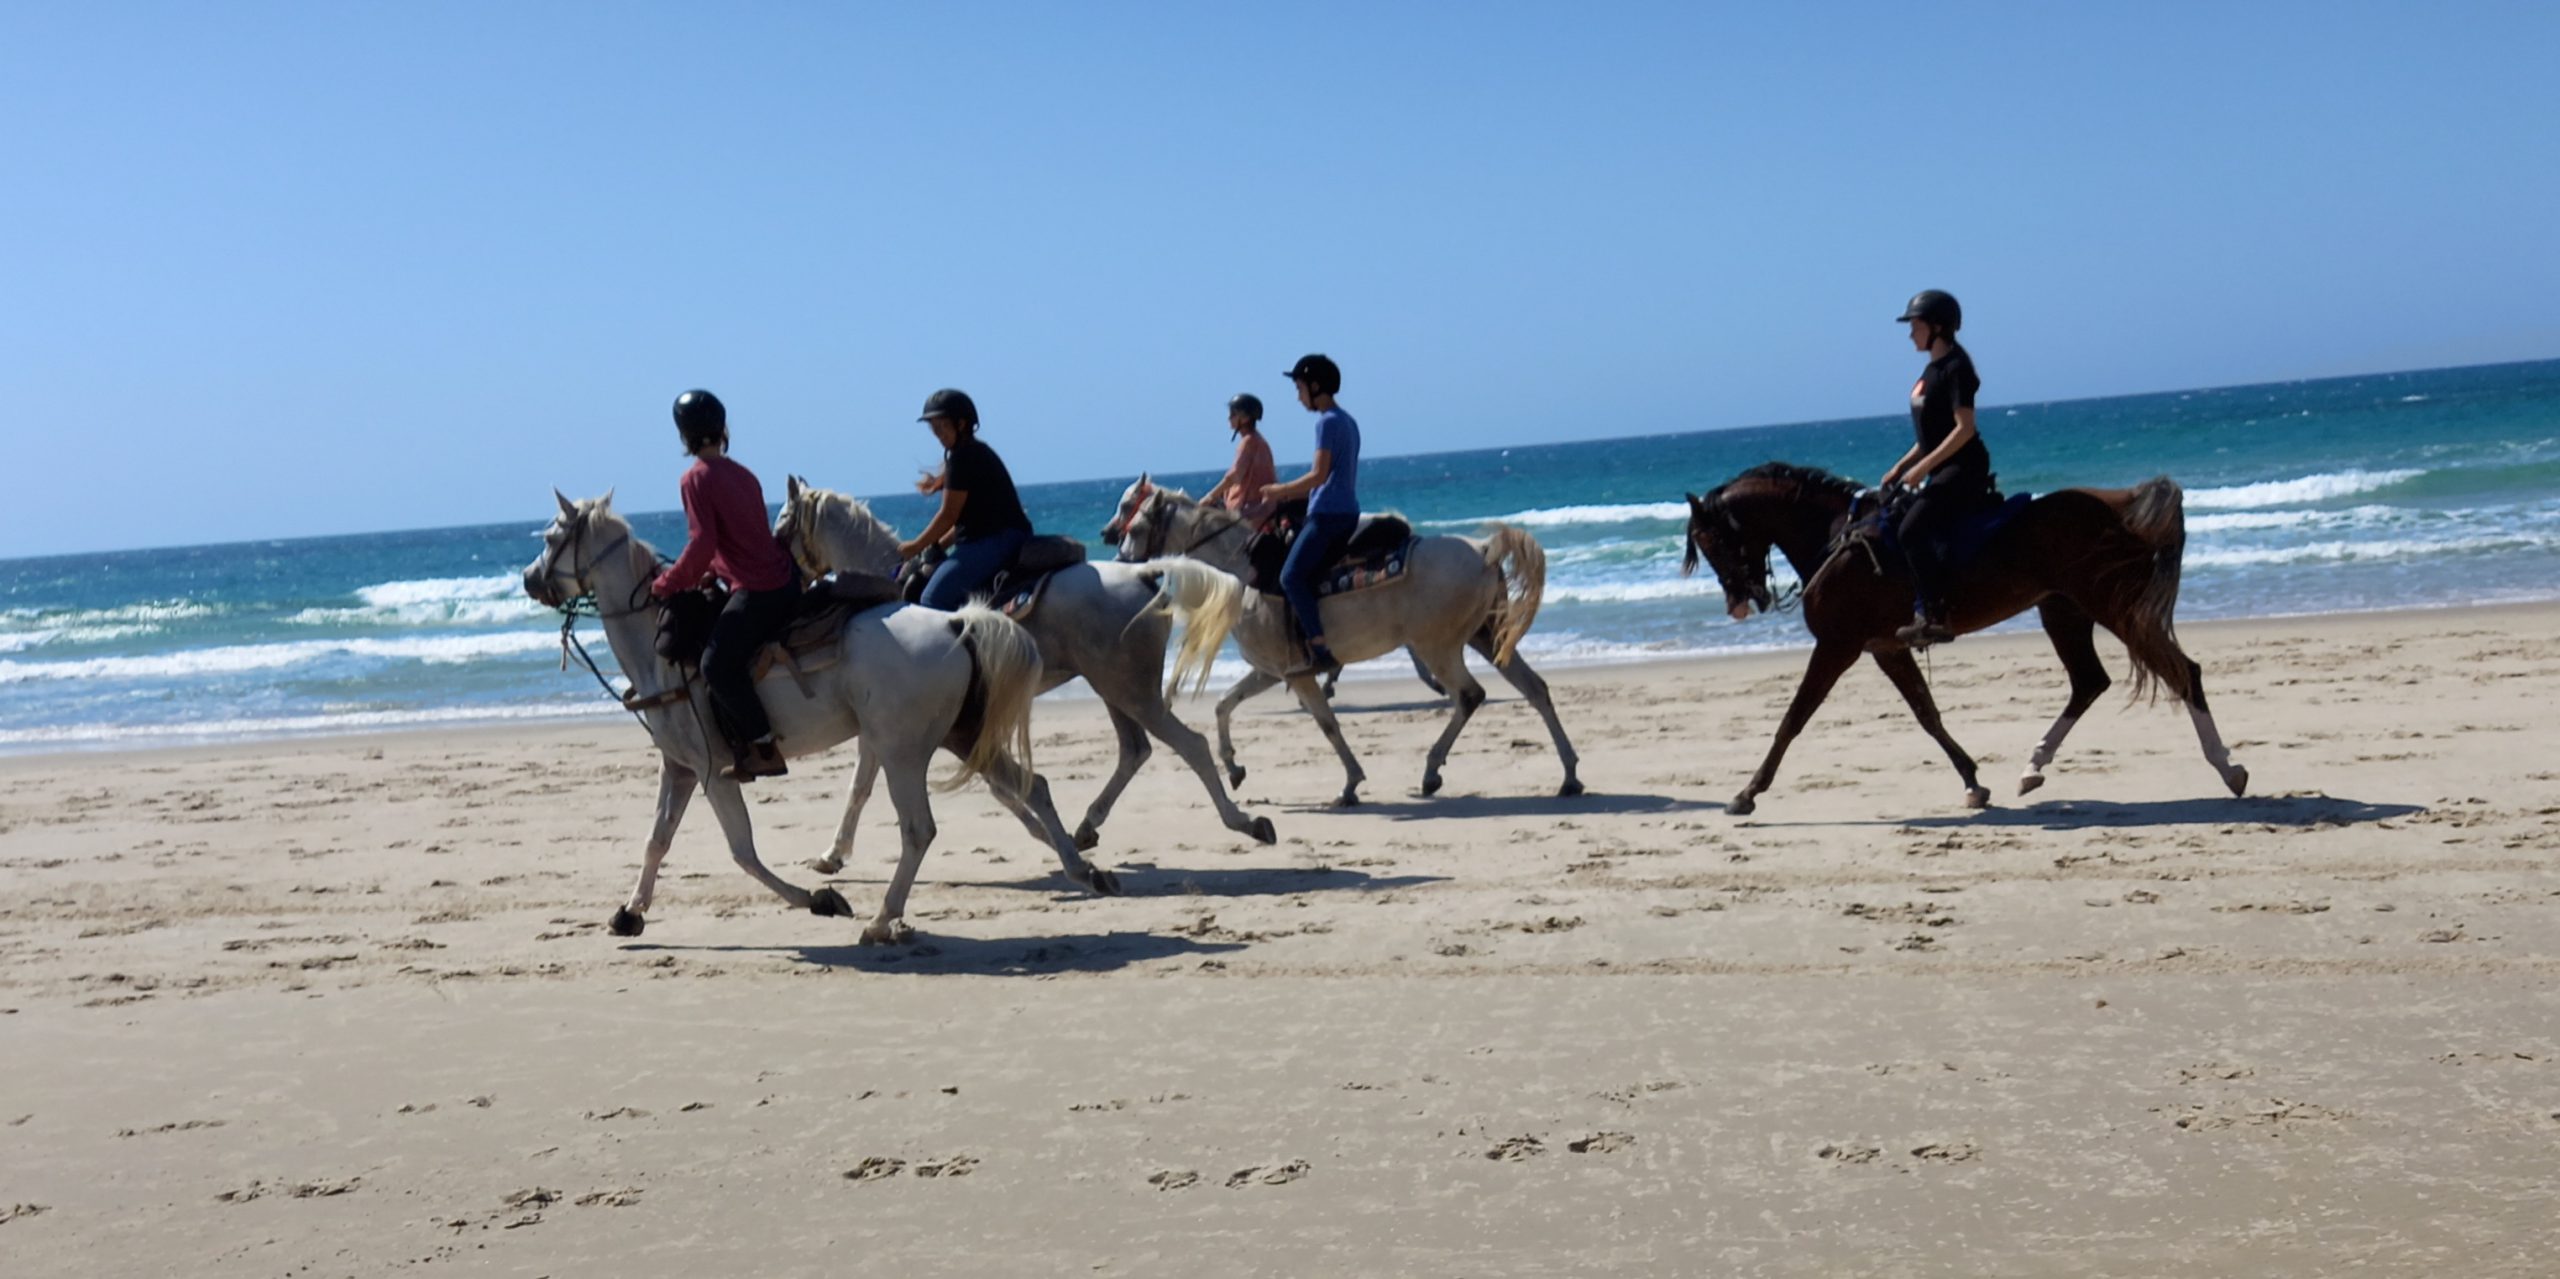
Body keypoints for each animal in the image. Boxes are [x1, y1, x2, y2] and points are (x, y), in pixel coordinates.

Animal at [524, 493, 1116, 946]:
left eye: (551, 538)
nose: (530, 579)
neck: (660, 649)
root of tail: (957, 623)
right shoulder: (680, 768)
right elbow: (656, 841)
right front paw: (630, 912)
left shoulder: (714, 770)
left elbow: (742, 851)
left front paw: (819, 899)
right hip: (961, 736)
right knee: (1033, 785)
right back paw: (1084, 869)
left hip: (903, 751)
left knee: (919, 829)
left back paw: (882, 920)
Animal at [768, 480, 1269, 869]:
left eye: (780, 528)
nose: (789, 588)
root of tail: (1146, 572)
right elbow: (860, 786)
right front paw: (833, 854)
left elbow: (994, 786)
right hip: (1113, 687)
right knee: (1135, 750)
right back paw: (1087, 826)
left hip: (1131, 689)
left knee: (1190, 745)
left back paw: (1244, 821)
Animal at [1100, 475, 1576, 803]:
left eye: (1133, 519)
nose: (1117, 554)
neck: (1245, 574)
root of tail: (1483, 550)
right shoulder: (1272, 671)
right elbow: (1224, 704)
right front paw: (1234, 768)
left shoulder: (1298, 674)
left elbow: (1327, 724)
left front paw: (1350, 784)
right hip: (1486, 637)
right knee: (1535, 688)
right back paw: (1569, 775)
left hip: (1438, 646)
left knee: (1470, 695)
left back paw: (1431, 772)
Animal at [1689, 465, 2252, 813]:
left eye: (1710, 540)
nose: (1739, 602)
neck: (1837, 540)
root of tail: (2125, 502)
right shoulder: (1885, 648)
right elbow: (1927, 713)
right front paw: (1973, 782)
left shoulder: (1838, 646)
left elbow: (1793, 719)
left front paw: (1748, 792)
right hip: (2063, 611)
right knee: (2089, 682)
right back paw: (2032, 767)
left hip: (2113, 607)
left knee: (2182, 673)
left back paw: (2227, 768)